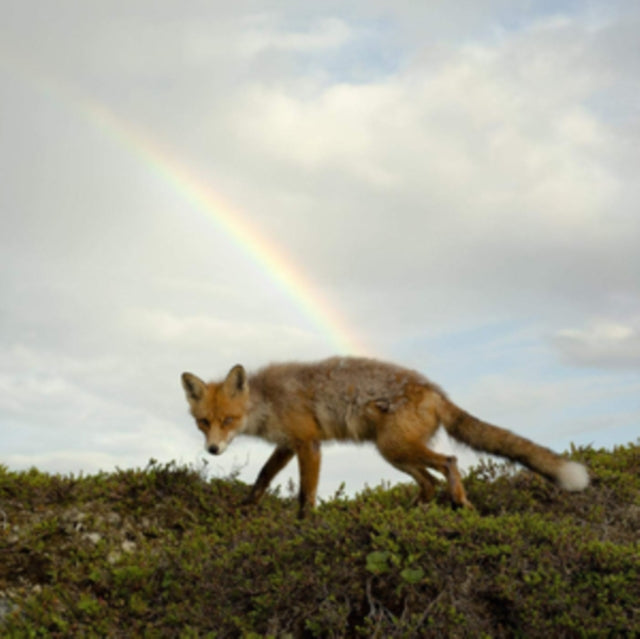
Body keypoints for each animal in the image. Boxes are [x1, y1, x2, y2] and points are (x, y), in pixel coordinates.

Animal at [180, 358, 592, 516]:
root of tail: (435, 391)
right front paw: (245, 508)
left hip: (394, 447)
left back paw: (460, 502)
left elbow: (305, 495)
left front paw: (305, 525)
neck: (268, 402)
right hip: (394, 454)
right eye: (203, 422)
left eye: (228, 419)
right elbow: (262, 478)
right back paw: (410, 513)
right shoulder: (287, 445)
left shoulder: (308, 443)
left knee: (449, 462)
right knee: (428, 483)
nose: (213, 450)